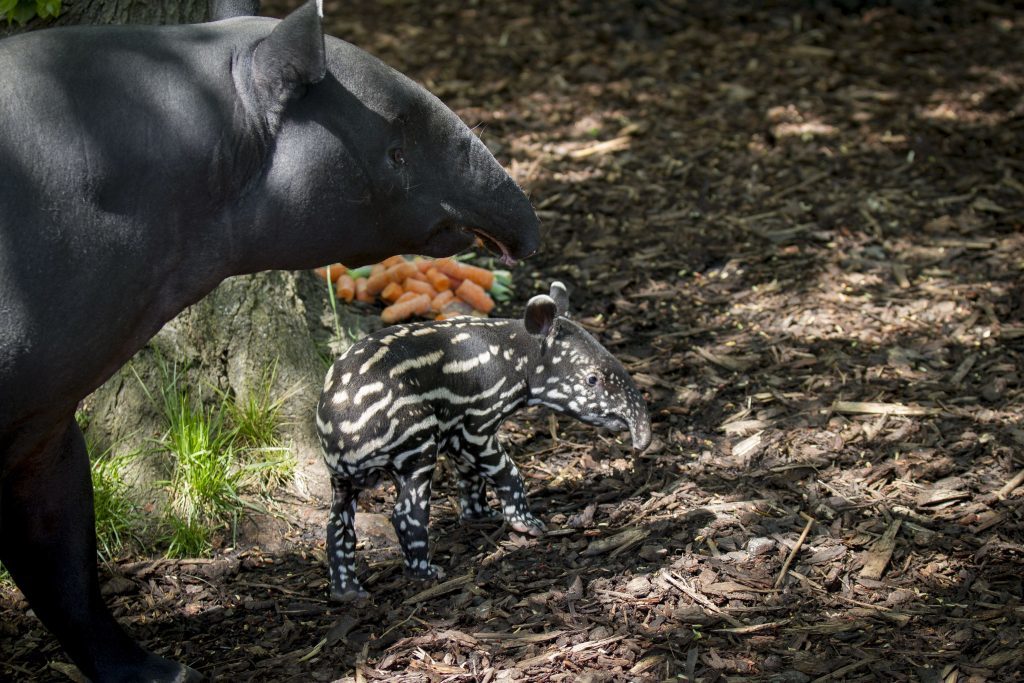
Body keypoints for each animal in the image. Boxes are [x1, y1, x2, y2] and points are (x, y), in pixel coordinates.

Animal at [313, 280, 647, 602]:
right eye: (592, 380)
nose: (641, 441)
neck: (516, 354)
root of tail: (342, 429)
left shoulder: (457, 431)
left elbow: (469, 477)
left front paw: (480, 516)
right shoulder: (476, 426)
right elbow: (508, 473)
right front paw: (526, 523)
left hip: (341, 477)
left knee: (338, 524)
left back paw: (348, 592)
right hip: (415, 442)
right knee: (406, 513)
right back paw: (426, 572)